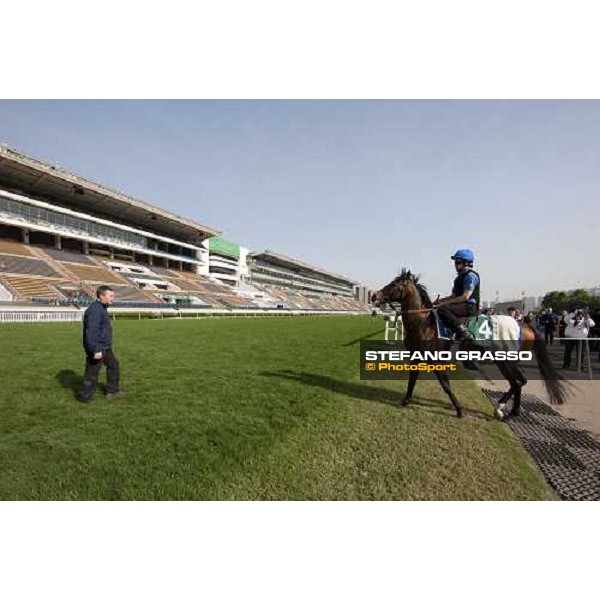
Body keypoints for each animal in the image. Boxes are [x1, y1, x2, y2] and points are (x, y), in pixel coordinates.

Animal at [368, 270, 568, 420]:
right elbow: (412, 380)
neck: (423, 323)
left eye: (396, 284)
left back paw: (504, 409)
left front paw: (459, 409)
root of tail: (524, 324)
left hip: (505, 362)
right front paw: (405, 400)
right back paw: (509, 409)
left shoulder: (437, 361)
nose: (374, 295)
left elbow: (446, 385)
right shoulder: (416, 358)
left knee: (517, 382)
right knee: (520, 382)